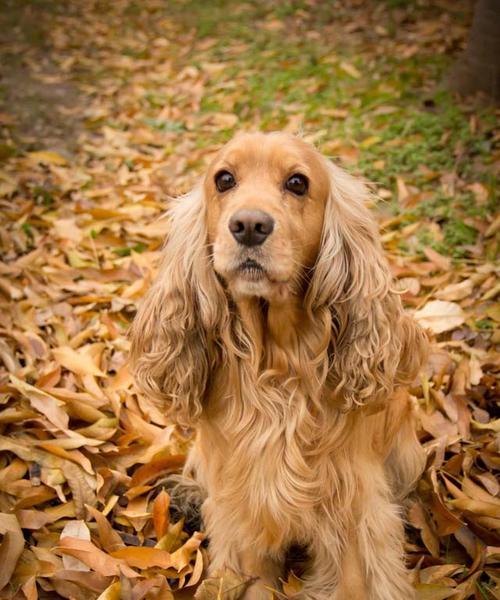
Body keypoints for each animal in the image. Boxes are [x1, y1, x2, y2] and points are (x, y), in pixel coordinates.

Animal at [131, 132, 428, 600]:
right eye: (224, 179)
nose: (249, 225)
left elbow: (355, 582)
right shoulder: (246, 506)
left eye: (297, 183)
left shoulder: (351, 507)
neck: (277, 365)